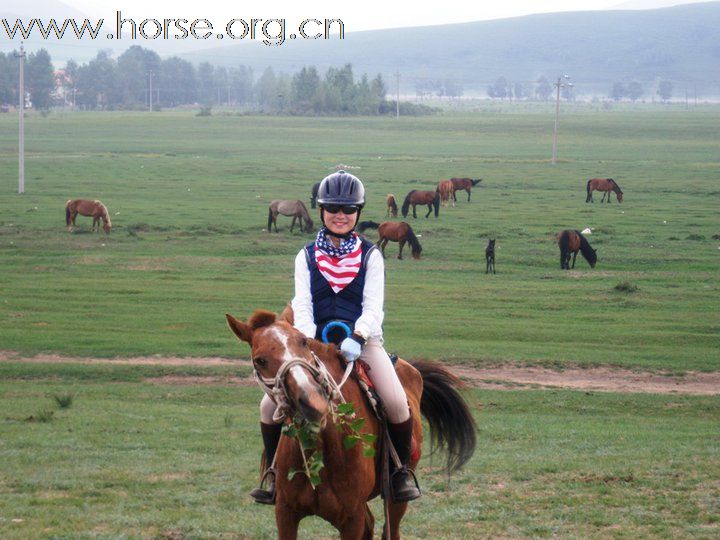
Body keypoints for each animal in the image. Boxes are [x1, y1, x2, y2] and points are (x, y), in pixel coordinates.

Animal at [228, 308, 476, 540]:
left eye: (304, 342)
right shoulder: (286, 513)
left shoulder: (351, 518)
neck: (323, 448)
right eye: (259, 361)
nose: (313, 401)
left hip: (395, 501)